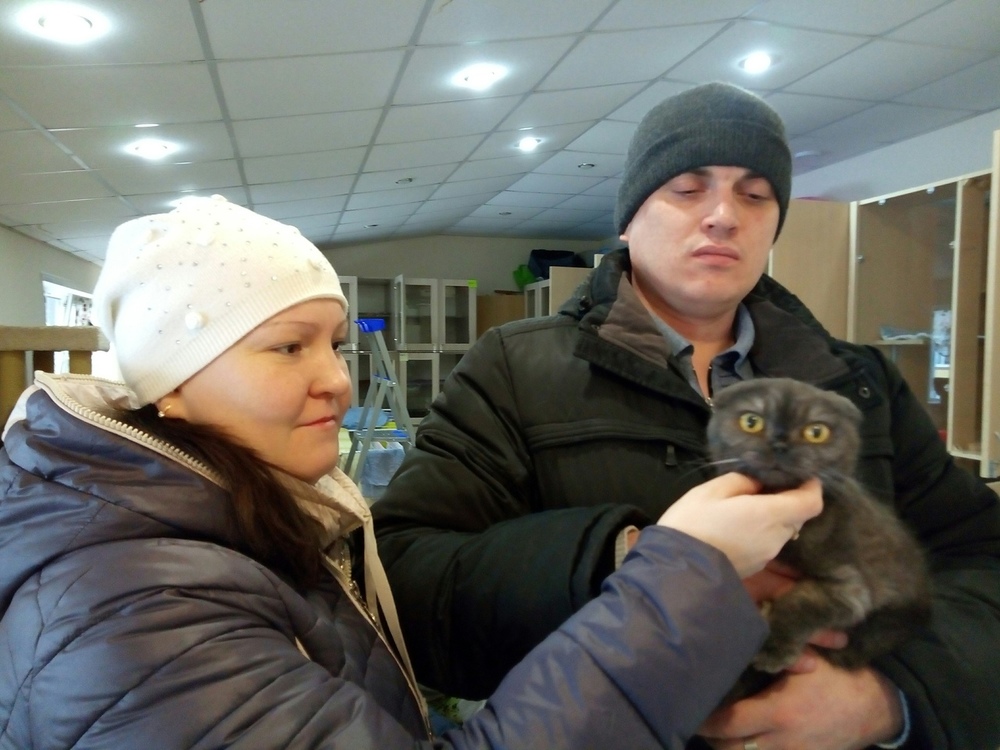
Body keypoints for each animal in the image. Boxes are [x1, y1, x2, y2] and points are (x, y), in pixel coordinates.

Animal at [705, 377, 932, 703]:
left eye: (816, 432)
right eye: (751, 422)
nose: (779, 443)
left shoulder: (850, 589)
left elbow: (800, 603)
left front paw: (773, 647)